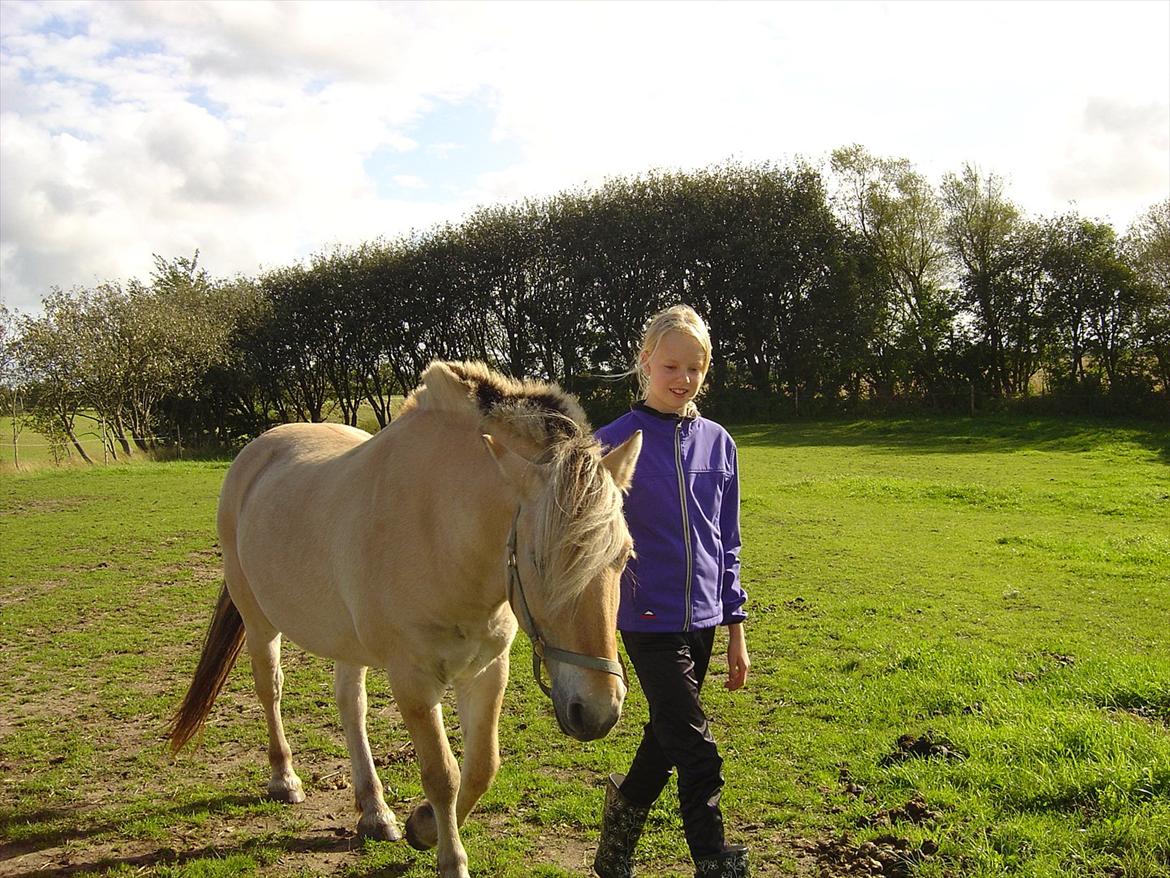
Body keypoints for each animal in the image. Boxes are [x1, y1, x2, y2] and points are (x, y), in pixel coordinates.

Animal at [167, 360, 641, 875]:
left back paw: (375, 811)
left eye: (624, 556)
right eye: (539, 561)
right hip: (259, 623)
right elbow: (442, 774)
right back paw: (285, 778)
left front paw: (421, 825)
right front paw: (450, 858)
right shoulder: (413, 681)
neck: (440, 532)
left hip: (347, 643)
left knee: (351, 706)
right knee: (270, 690)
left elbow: (481, 767)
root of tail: (257, 451)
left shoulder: (487, 670)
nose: (598, 711)